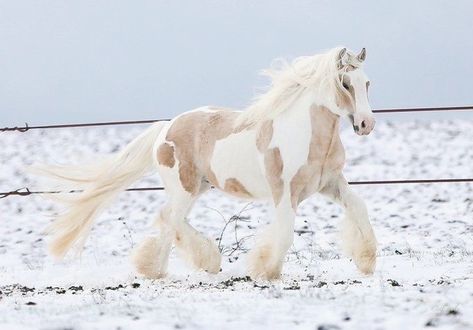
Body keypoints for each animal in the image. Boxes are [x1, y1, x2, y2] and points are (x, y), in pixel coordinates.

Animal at [36, 45, 376, 278]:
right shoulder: (284, 191)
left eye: (367, 83)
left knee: (167, 219)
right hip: (185, 187)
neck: (305, 134)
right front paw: (265, 270)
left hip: (197, 187)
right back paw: (205, 262)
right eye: (345, 83)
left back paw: (155, 269)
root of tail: (166, 127)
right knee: (172, 219)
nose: (366, 124)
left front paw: (367, 261)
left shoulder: (329, 184)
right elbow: (286, 231)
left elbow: (359, 207)